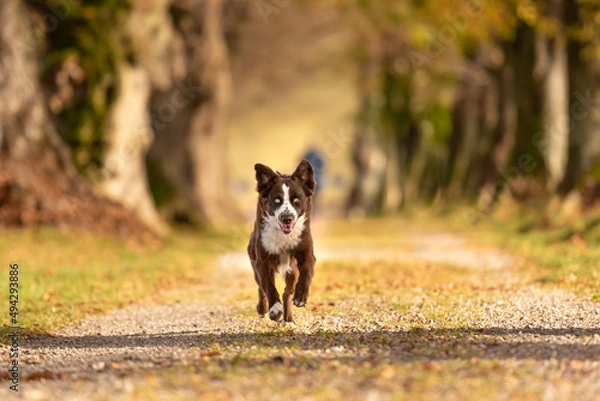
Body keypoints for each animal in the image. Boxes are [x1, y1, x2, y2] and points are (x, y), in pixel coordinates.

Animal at [247, 158, 316, 326]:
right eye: (277, 200)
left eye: (296, 200)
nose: (287, 218)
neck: (283, 235)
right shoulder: (262, 261)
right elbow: (268, 286)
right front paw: (274, 309)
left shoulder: (307, 255)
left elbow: (307, 272)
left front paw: (300, 296)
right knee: (261, 287)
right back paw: (263, 309)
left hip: (292, 270)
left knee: (287, 293)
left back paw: (289, 320)